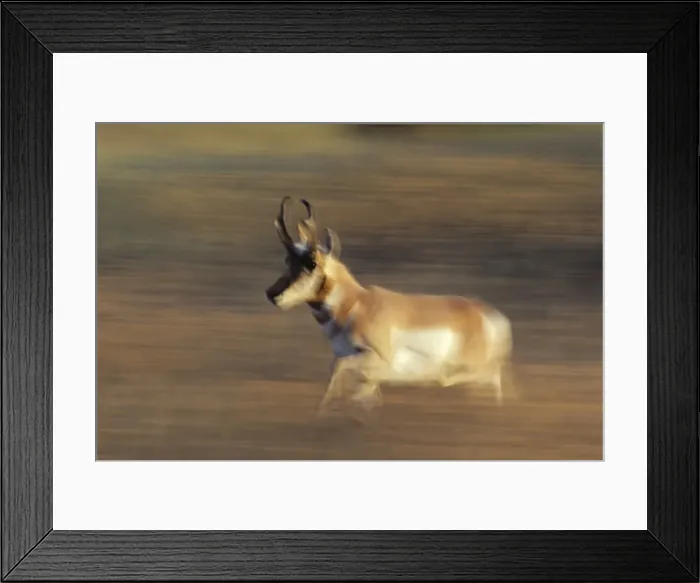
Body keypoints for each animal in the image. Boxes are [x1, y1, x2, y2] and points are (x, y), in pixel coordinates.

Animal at [265, 197, 514, 422]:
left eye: (312, 263)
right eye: (288, 260)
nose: (272, 294)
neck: (357, 303)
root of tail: (489, 316)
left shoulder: (375, 362)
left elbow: (339, 370)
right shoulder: (366, 374)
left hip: (476, 374)